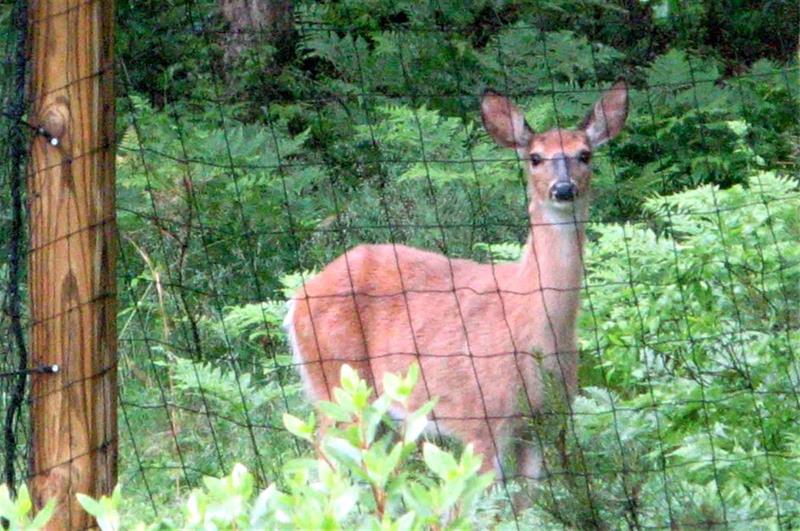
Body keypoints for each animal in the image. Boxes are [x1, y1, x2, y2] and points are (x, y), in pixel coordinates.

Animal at [284, 79, 628, 485]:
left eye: (585, 155)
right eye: (535, 158)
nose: (563, 189)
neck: (532, 328)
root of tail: (299, 298)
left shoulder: (543, 422)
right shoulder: (479, 417)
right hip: (335, 382)